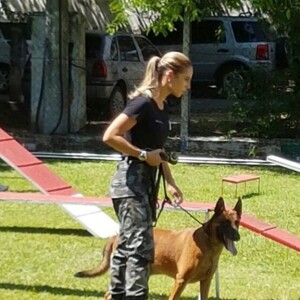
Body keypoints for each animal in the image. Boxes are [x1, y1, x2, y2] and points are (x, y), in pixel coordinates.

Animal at [74, 197, 241, 300]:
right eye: (225, 223)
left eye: (237, 222)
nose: (237, 236)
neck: (208, 244)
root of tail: (117, 236)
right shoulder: (181, 280)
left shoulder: (206, 282)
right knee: (109, 295)